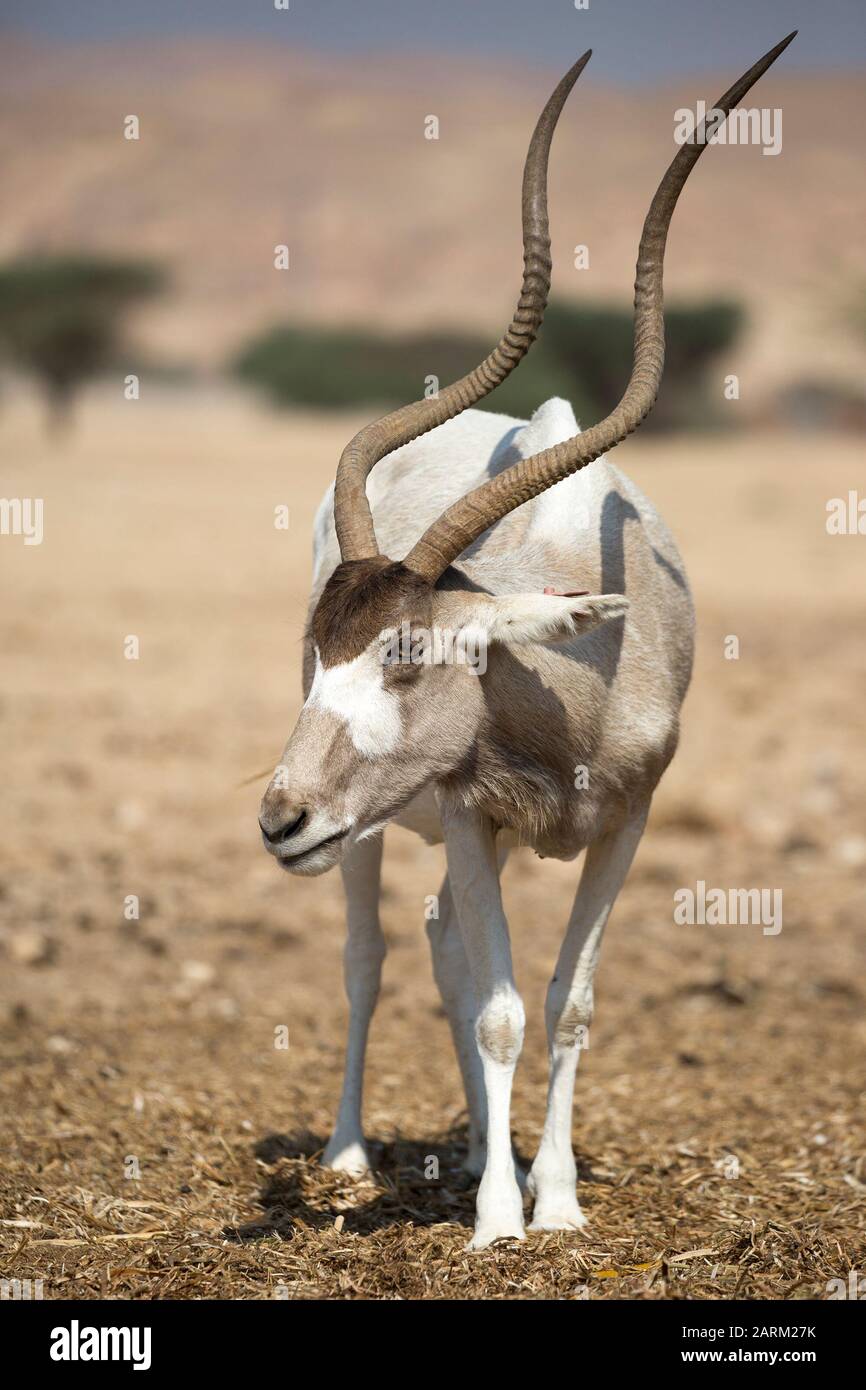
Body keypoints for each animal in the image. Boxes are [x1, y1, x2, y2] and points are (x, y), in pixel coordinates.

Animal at [258, 32, 800, 1251]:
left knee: (437, 940)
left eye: (407, 656)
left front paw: (549, 1199)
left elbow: (568, 1001)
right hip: (374, 834)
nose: (277, 817)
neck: (574, 675)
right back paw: (358, 1154)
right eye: (323, 652)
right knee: (378, 956)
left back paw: (472, 1149)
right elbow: (501, 1008)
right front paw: (503, 1219)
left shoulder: (628, 819)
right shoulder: (469, 812)